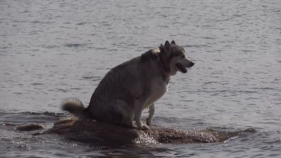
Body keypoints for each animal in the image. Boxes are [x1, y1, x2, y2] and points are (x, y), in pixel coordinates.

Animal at [61, 40, 194, 130]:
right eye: (181, 55)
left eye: (186, 55)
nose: (193, 63)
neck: (161, 63)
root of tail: (90, 110)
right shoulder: (141, 97)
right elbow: (138, 114)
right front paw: (140, 125)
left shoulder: (152, 94)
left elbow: (152, 109)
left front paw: (148, 120)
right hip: (122, 106)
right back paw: (129, 123)